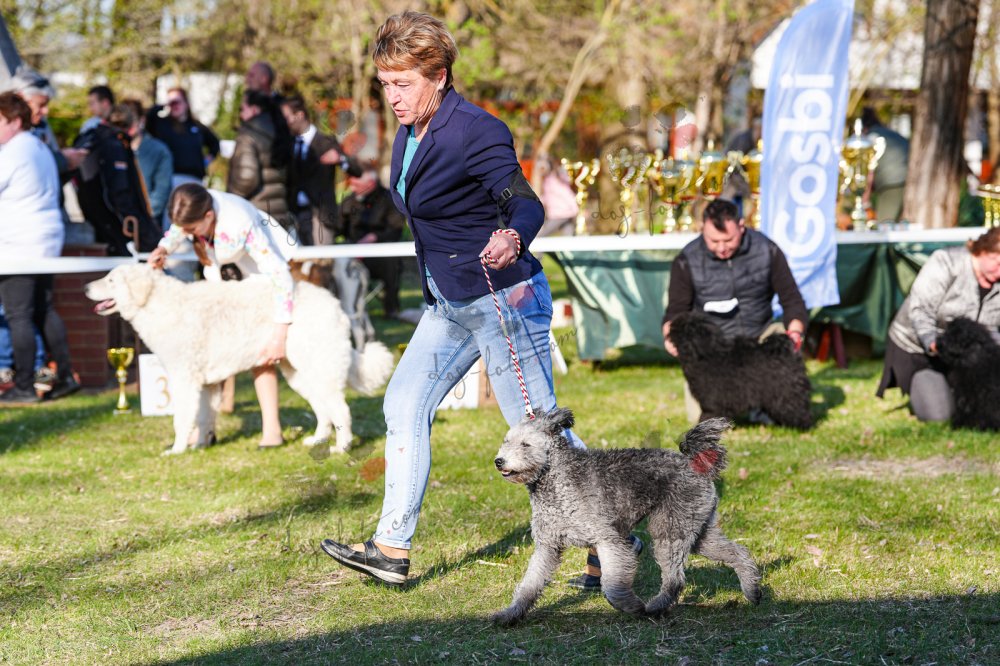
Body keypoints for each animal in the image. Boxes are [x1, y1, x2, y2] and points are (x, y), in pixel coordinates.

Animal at [86, 264, 394, 454]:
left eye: (111, 280)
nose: (86, 288)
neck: (158, 305)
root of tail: (334, 304)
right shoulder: (206, 384)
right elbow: (204, 417)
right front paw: (200, 445)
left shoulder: (184, 379)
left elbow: (182, 419)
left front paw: (177, 450)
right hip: (299, 375)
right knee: (323, 410)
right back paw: (317, 440)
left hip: (319, 370)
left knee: (341, 410)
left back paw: (341, 448)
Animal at [492, 408, 760, 625]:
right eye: (506, 441)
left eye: (525, 445)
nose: (498, 461)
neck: (558, 480)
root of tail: (693, 462)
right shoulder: (547, 546)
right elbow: (530, 584)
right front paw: (510, 614)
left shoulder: (608, 540)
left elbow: (612, 586)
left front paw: (630, 606)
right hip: (698, 531)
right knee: (738, 552)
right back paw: (753, 591)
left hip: (670, 530)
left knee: (675, 579)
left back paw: (654, 608)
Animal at [668, 312, 813, 429]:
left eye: (680, 327)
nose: (669, 325)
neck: (706, 354)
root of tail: (784, 350)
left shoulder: (712, 401)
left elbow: (709, 414)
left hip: (786, 393)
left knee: (797, 408)